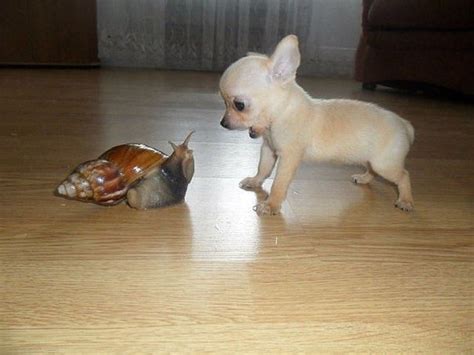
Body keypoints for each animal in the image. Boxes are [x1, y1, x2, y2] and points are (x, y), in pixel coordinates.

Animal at [219, 34, 414, 216]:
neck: (279, 114)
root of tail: (403, 124)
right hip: (370, 159)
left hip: (385, 164)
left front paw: (271, 205)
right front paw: (255, 181)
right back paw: (364, 178)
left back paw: (405, 200)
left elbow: (279, 183)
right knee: (372, 170)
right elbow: (263, 169)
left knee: (404, 175)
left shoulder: (288, 158)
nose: (223, 123)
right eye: (224, 102)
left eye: (239, 105)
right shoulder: (268, 149)